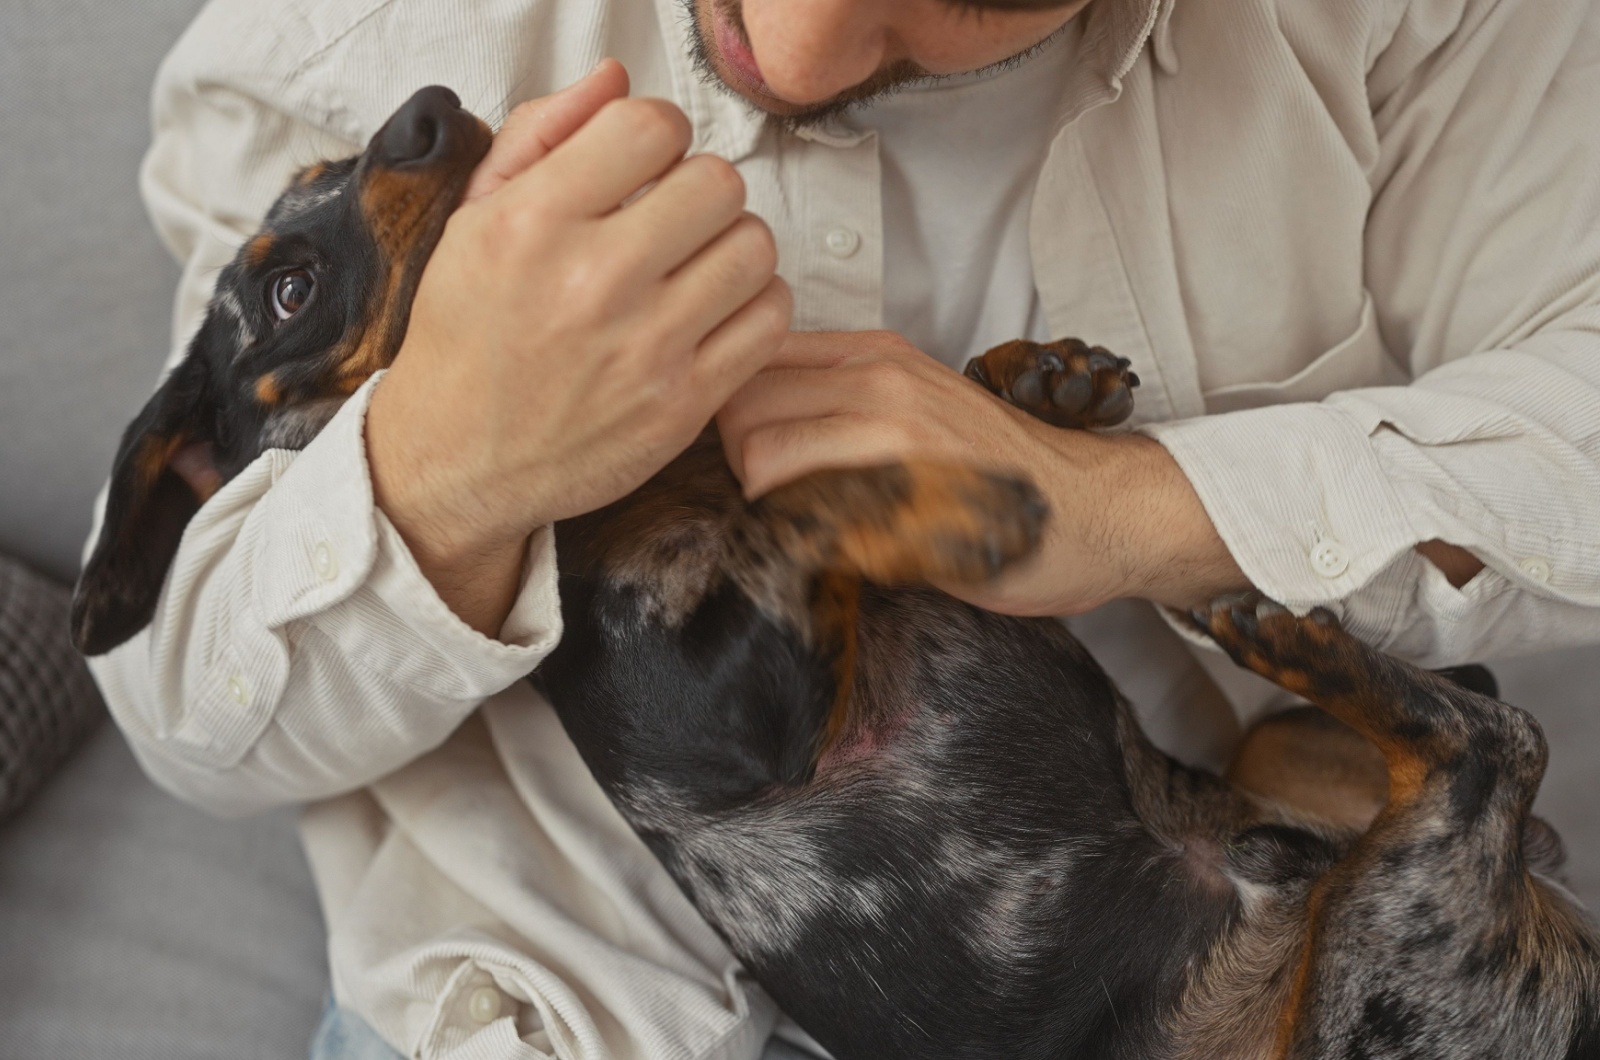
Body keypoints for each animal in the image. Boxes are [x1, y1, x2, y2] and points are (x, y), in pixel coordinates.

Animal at [78, 89, 1600, 1060]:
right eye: (285, 288)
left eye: (325, 174)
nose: (429, 107)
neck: (668, 470)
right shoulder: (726, 710)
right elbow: (806, 505)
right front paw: (939, 478)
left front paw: (1028, 379)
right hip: (1378, 961)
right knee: (1493, 738)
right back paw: (1288, 634)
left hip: (1305, 799)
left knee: (1472, 727)